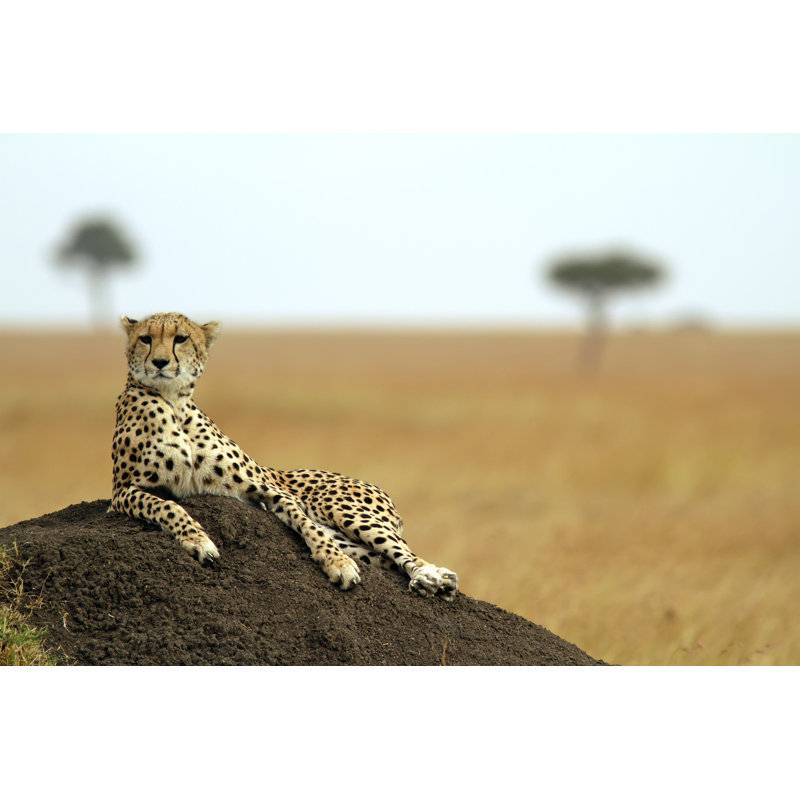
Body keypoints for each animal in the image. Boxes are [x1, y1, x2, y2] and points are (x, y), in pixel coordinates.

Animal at [109, 311, 458, 599]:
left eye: (180, 338)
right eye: (146, 338)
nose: (159, 362)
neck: (173, 402)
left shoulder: (267, 491)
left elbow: (305, 523)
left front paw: (338, 564)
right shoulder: (121, 493)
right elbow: (166, 505)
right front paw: (198, 541)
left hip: (340, 508)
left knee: (405, 552)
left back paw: (430, 577)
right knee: (383, 556)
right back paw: (435, 579)